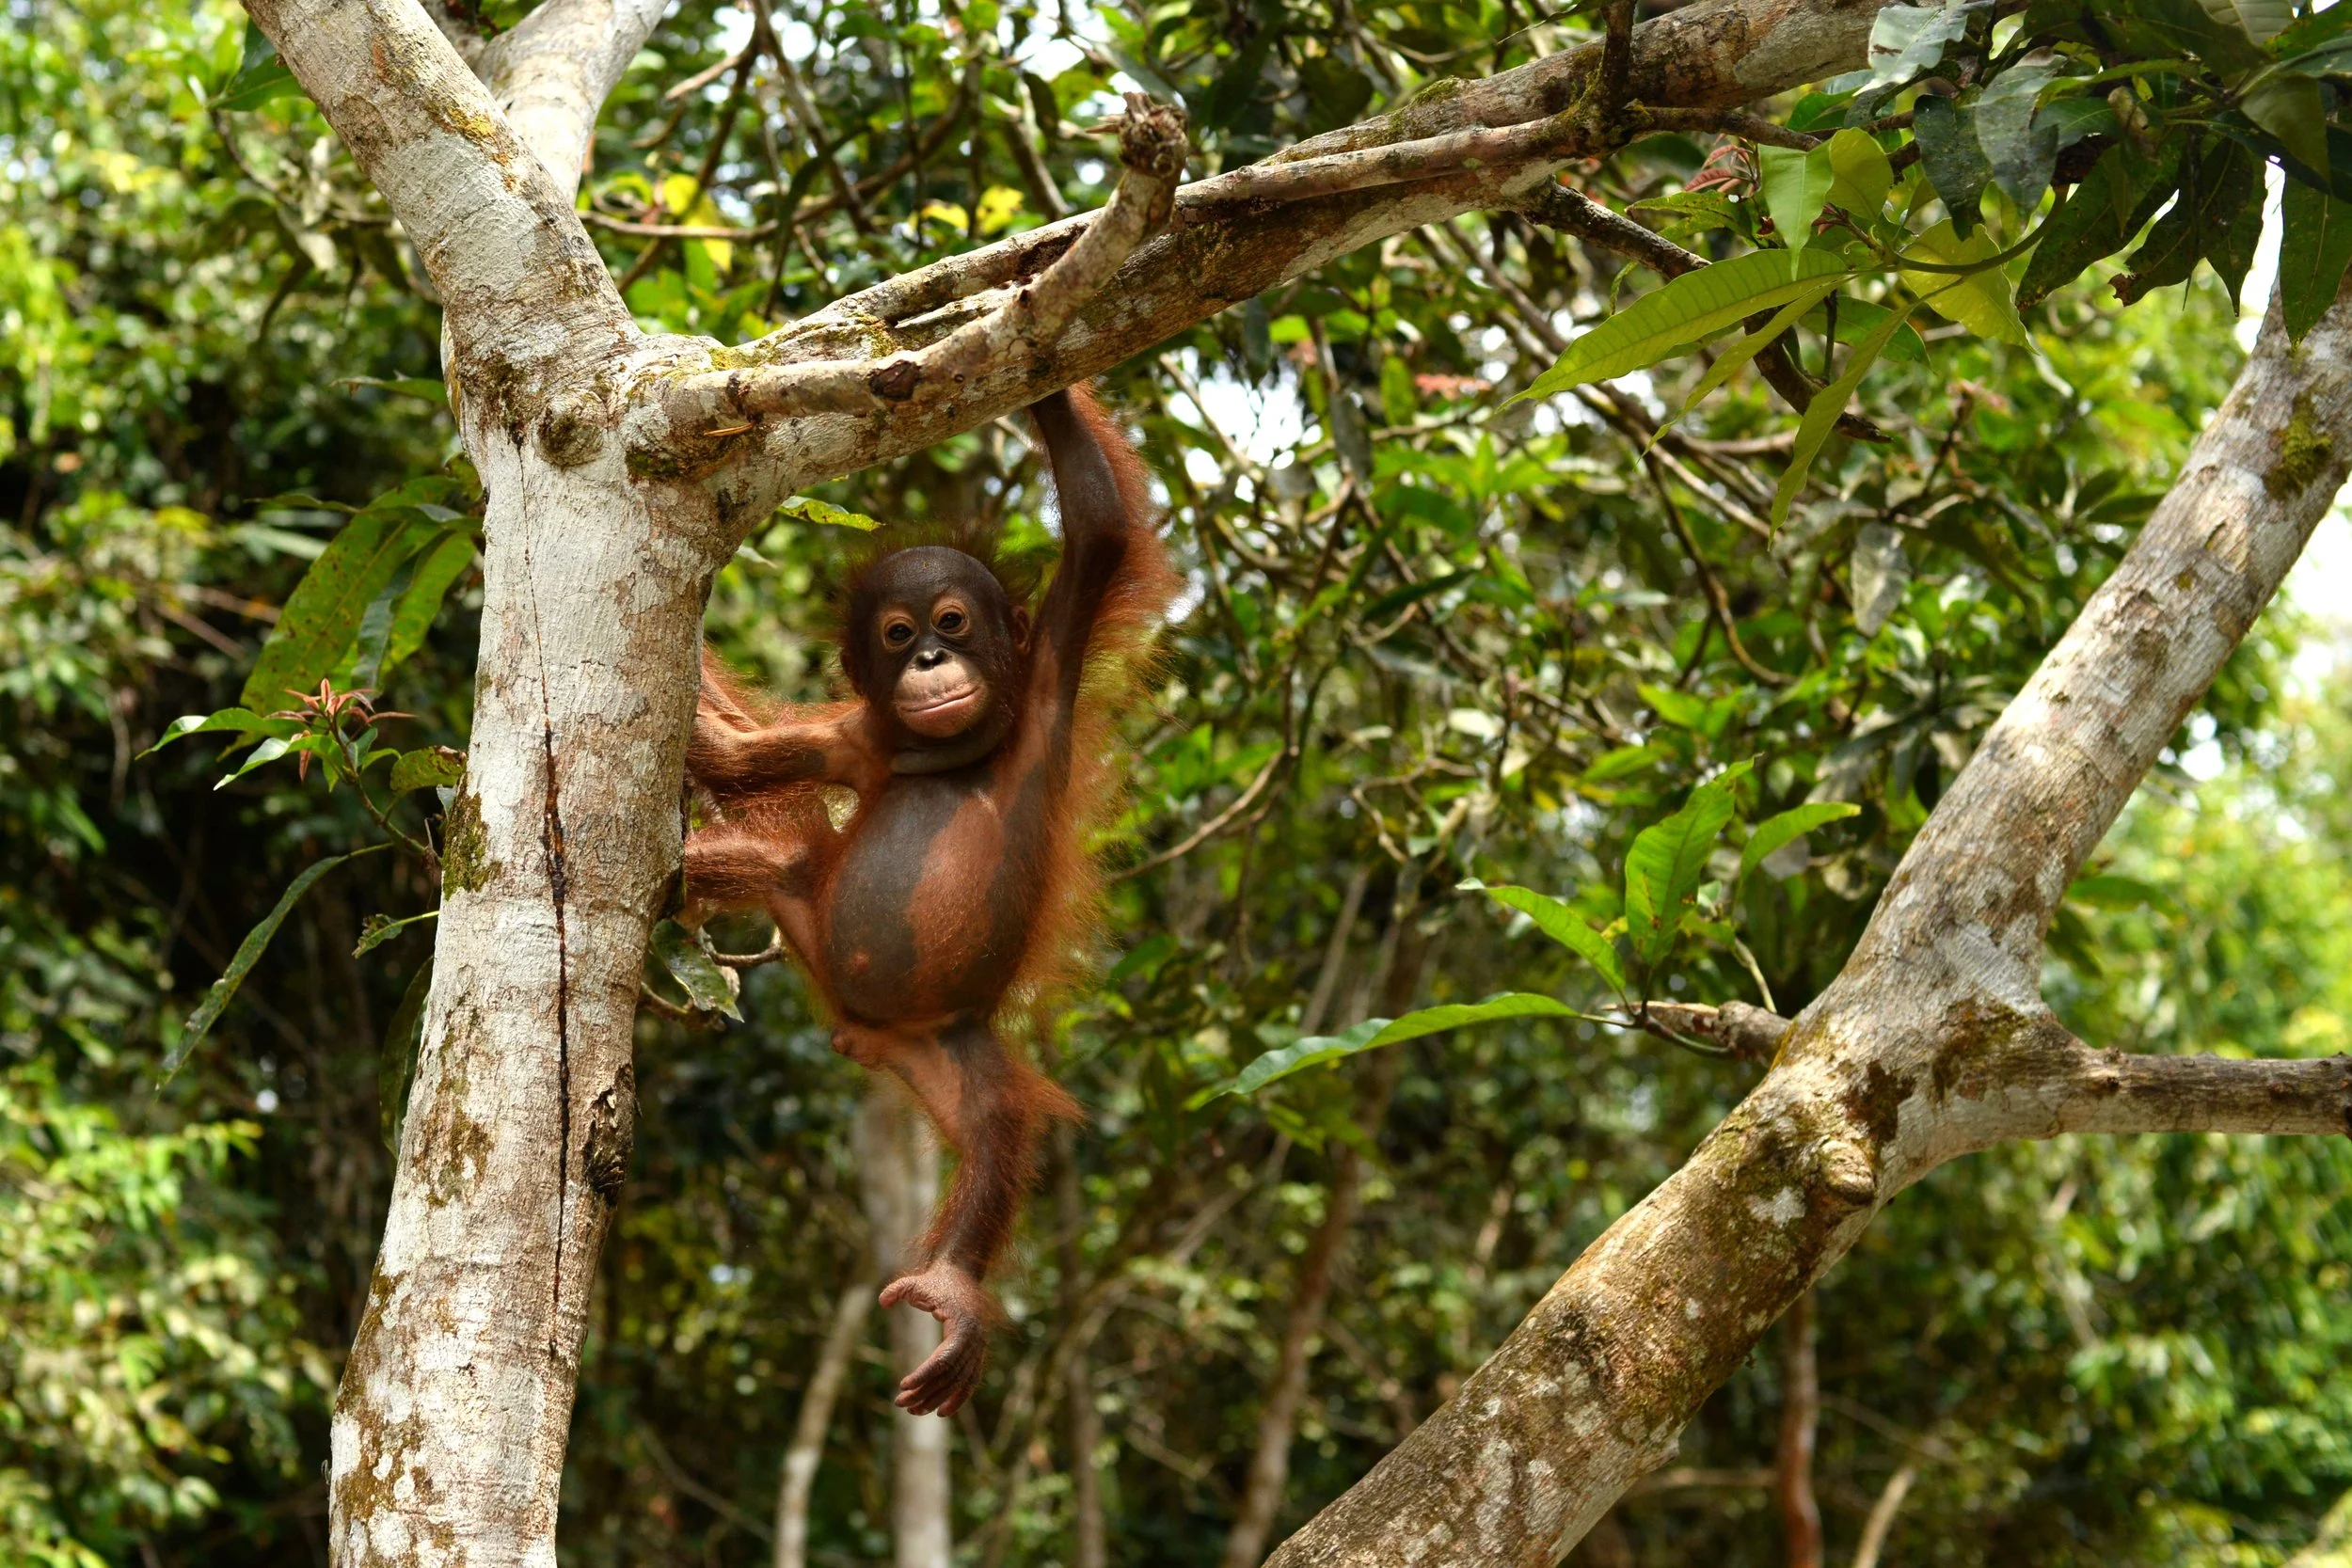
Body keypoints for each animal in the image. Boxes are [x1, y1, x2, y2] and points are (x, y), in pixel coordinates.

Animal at [680, 384, 1175, 1418]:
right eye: (898, 635)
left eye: (952, 619)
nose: (930, 665)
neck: (945, 752)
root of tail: (868, 1033)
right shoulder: (855, 737)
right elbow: (729, 759)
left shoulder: (1050, 668)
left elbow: (1100, 530)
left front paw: (1045, 371)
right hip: (815, 925)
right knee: (762, 868)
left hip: (952, 1046)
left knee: (996, 1128)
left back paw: (952, 1289)